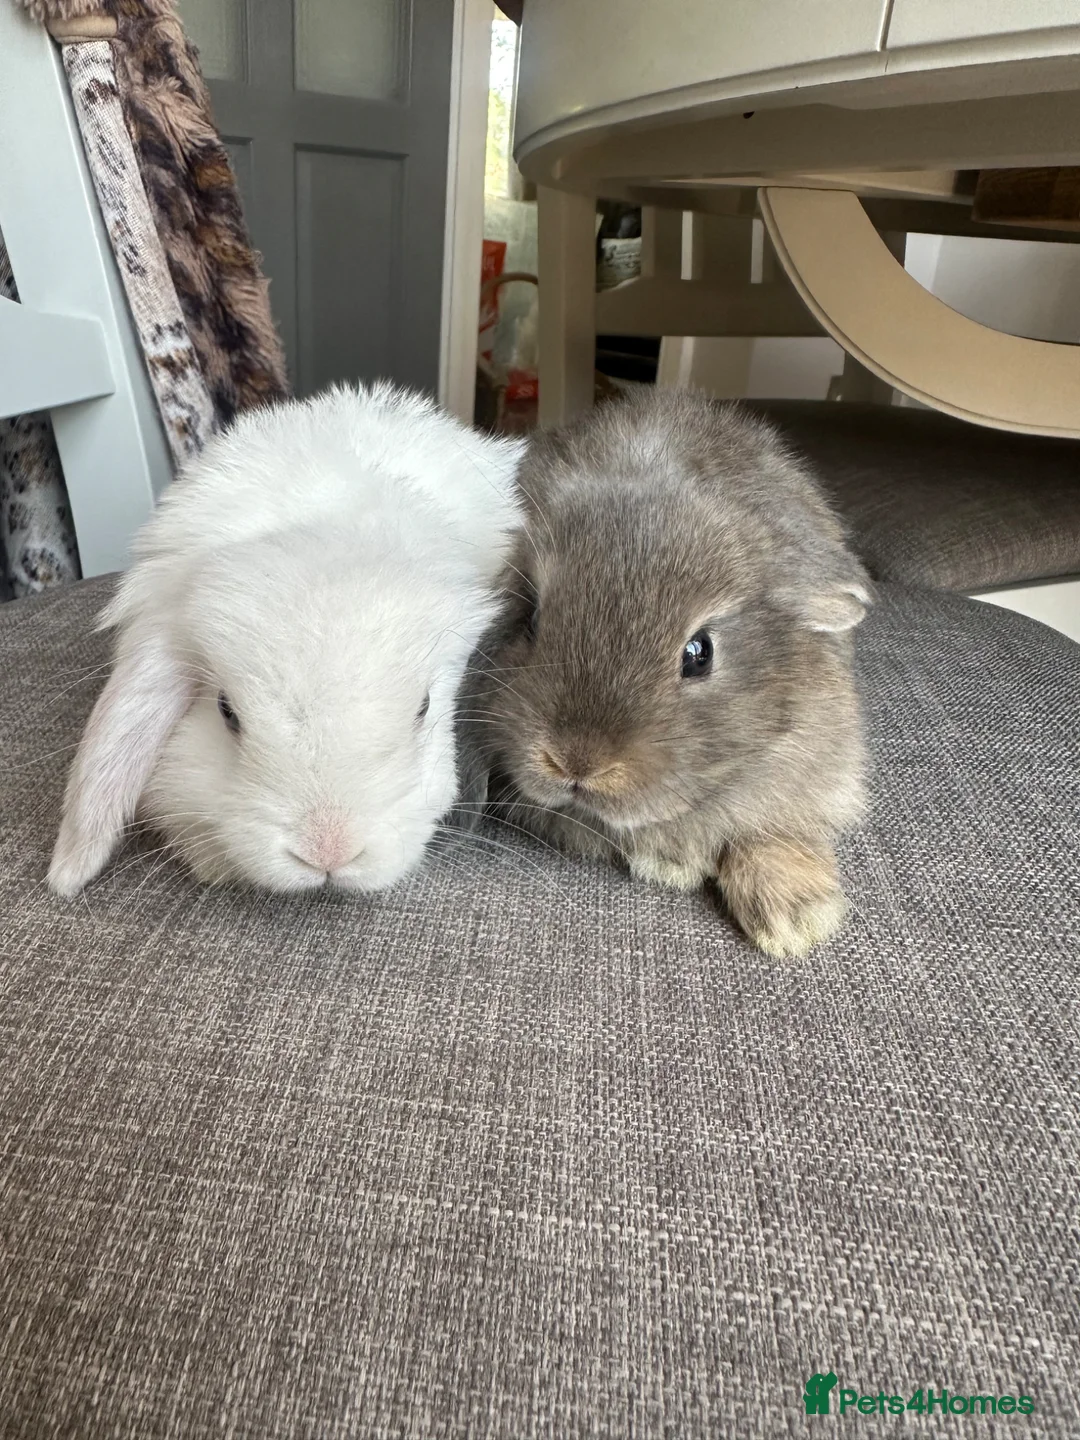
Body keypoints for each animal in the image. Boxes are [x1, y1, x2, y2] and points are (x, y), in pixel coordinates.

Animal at [455, 387, 872, 958]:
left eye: (700, 653)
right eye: (531, 617)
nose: (574, 764)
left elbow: (774, 829)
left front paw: (796, 921)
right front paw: (675, 863)